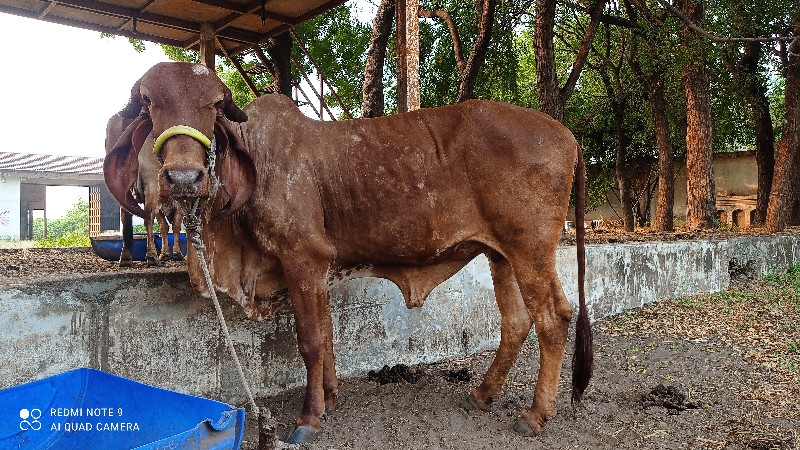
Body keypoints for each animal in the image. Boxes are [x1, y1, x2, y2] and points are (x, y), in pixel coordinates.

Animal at [103, 61, 592, 444]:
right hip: (500, 254)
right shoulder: (320, 270)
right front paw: (331, 397)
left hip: (531, 250)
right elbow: (328, 335)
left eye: (215, 106)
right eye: (148, 103)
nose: (184, 179)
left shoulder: (303, 259)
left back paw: (535, 415)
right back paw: (484, 393)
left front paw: (309, 418)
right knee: (517, 322)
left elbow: (310, 340)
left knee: (553, 320)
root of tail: (568, 135)